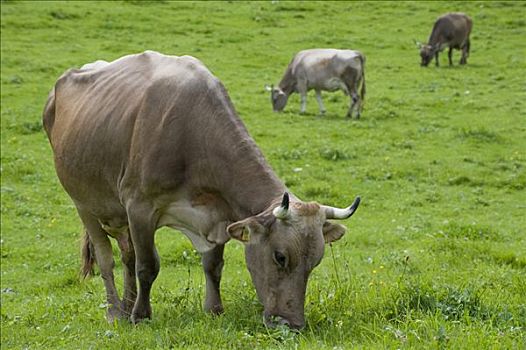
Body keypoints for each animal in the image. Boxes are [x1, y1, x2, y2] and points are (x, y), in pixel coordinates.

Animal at [43, 50, 360, 330]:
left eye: (315, 261)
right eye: (280, 256)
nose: (291, 325)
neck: (192, 133)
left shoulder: (218, 213)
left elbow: (213, 265)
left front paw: (214, 309)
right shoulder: (139, 206)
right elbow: (148, 266)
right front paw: (141, 316)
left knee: (126, 255)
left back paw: (126, 303)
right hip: (84, 203)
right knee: (106, 257)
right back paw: (115, 312)